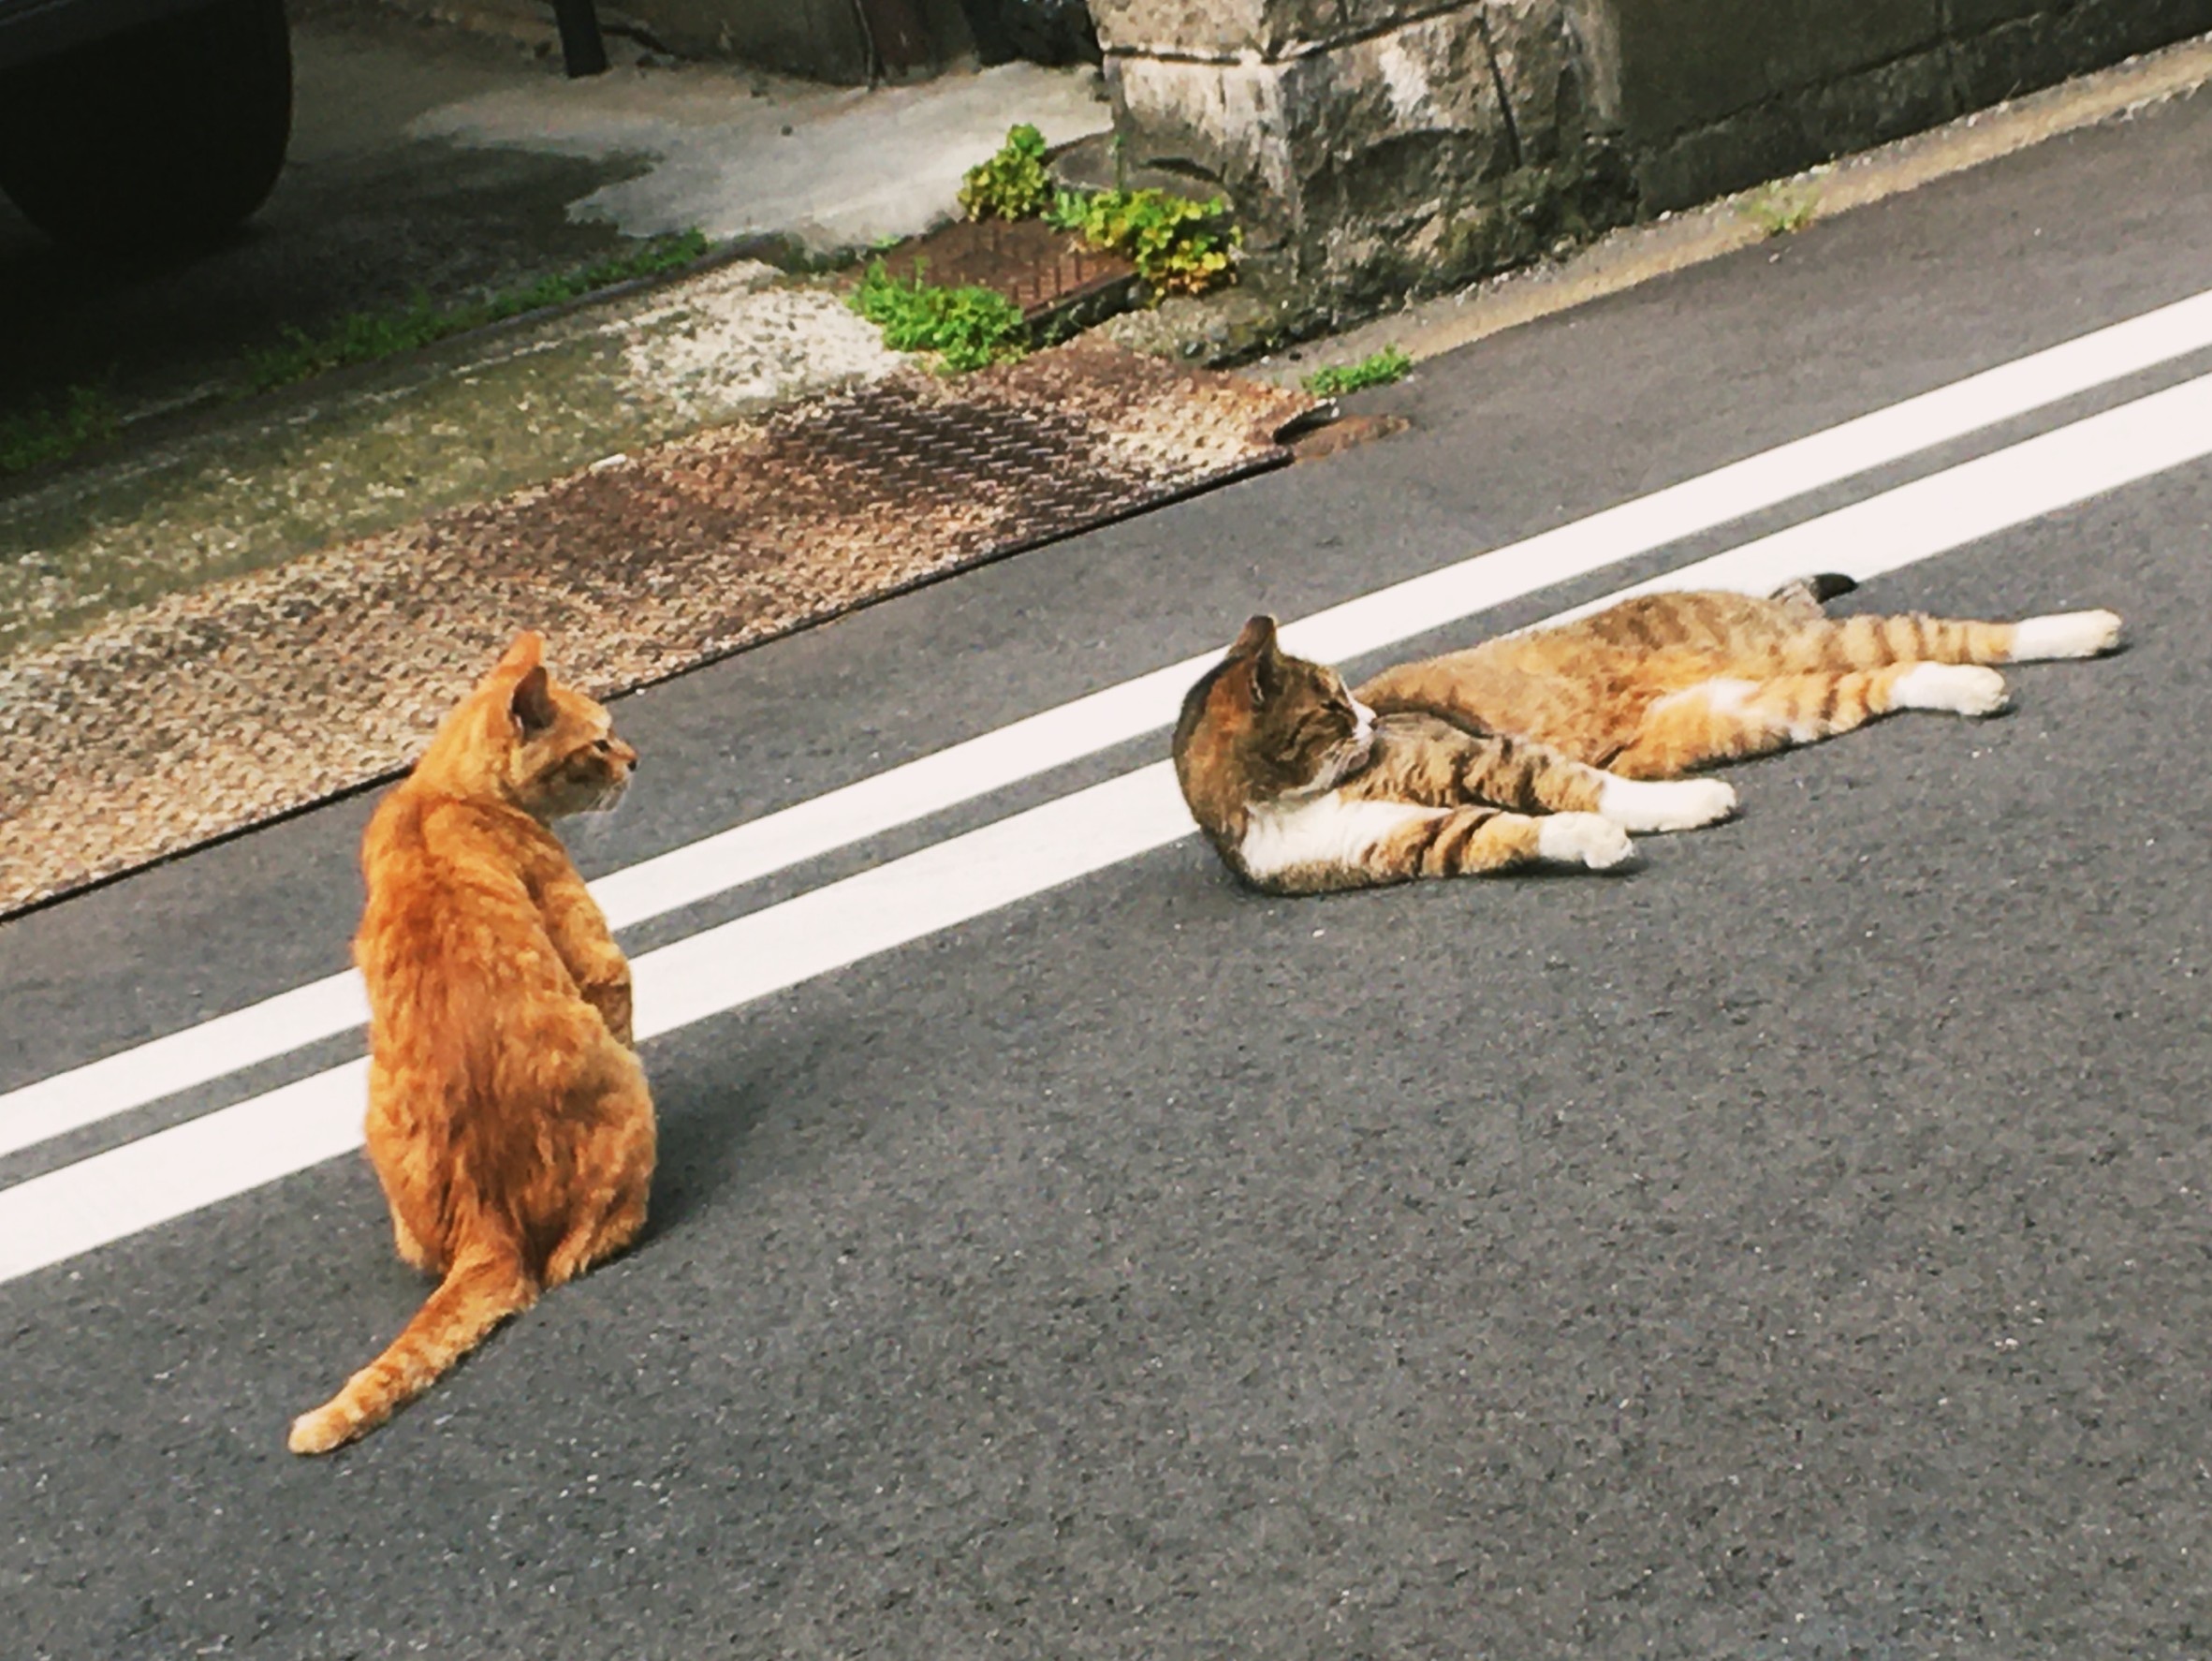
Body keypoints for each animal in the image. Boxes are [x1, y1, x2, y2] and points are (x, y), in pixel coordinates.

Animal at [289, 632, 656, 1455]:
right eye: (599, 739)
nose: (634, 759)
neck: (444, 792)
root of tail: (488, 1227)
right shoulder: (594, 955)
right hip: (626, 1094)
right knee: (571, 1258)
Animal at [1172, 615, 1739, 895]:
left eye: (1345, 693)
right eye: (1333, 704)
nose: (1373, 719)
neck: (1296, 801)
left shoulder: (1477, 756)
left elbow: (1583, 784)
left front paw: (1697, 800)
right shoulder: (1407, 840)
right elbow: (1500, 832)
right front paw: (1594, 839)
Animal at [1357, 575, 2123, 778]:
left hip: (1801, 645)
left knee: (1944, 634)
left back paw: (2087, 629)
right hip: (1745, 713)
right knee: (1893, 676)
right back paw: (1972, 691)